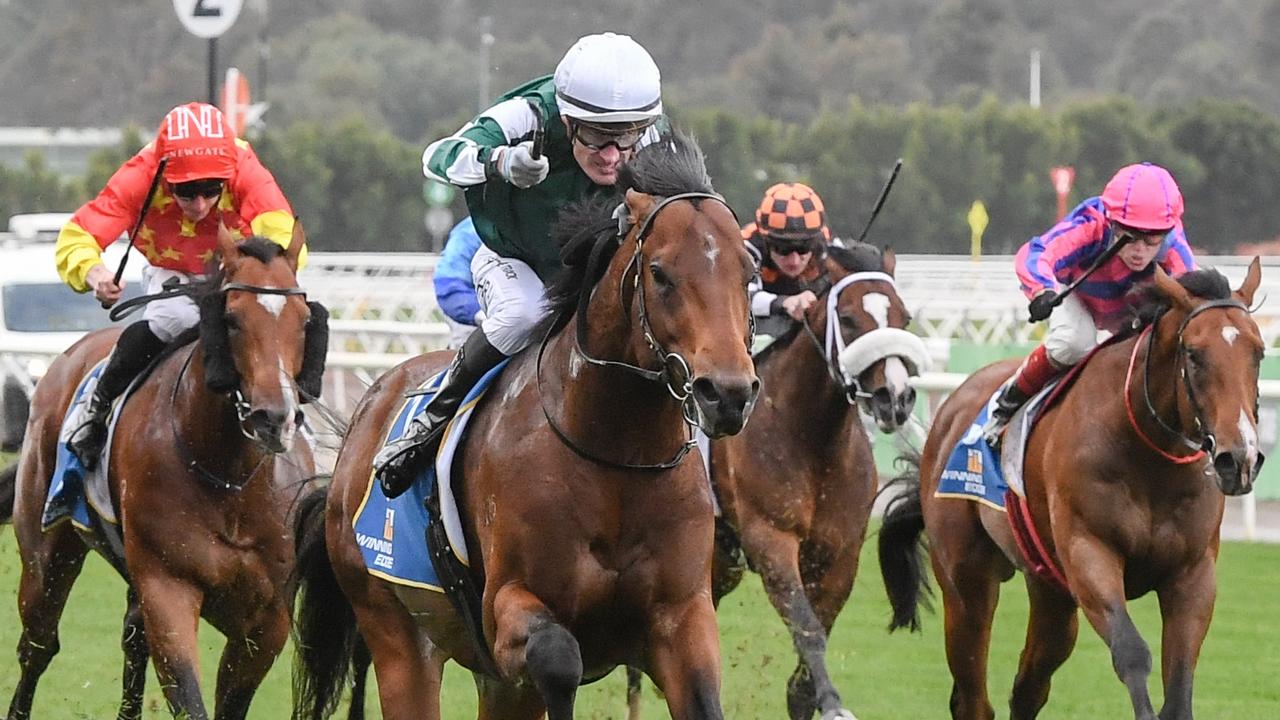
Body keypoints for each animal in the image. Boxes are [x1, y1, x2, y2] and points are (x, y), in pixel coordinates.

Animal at [6, 225, 325, 717]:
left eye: (304, 319)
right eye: (232, 318)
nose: (273, 418)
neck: (228, 478)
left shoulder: (267, 618)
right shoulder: (167, 587)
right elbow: (187, 694)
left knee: (132, 638)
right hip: (46, 549)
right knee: (38, 644)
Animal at [294, 130, 757, 717]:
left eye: (749, 271)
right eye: (660, 273)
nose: (729, 393)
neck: (615, 455)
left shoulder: (681, 617)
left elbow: (699, 693)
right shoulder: (505, 610)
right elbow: (559, 659)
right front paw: (513, 162)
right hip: (395, 631)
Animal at [706, 242, 926, 717]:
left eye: (903, 317)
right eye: (848, 318)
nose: (895, 398)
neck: (812, 440)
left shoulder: (840, 554)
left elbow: (810, 654)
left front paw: (815, 696)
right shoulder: (771, 539)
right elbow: (807, 629)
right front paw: (834, 703)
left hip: (720, 563)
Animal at [875, 263, 1264, 717]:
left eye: (1258, 352)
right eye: (1194, 354)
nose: (1239, 459)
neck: (1150, 460)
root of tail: (952, 409)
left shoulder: (1193, 574)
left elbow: (1180, 687)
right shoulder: (1088, 552)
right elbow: (1132, 651)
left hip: (1051, 594)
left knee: (1029, 687)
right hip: (966, 579)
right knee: (973, 695)